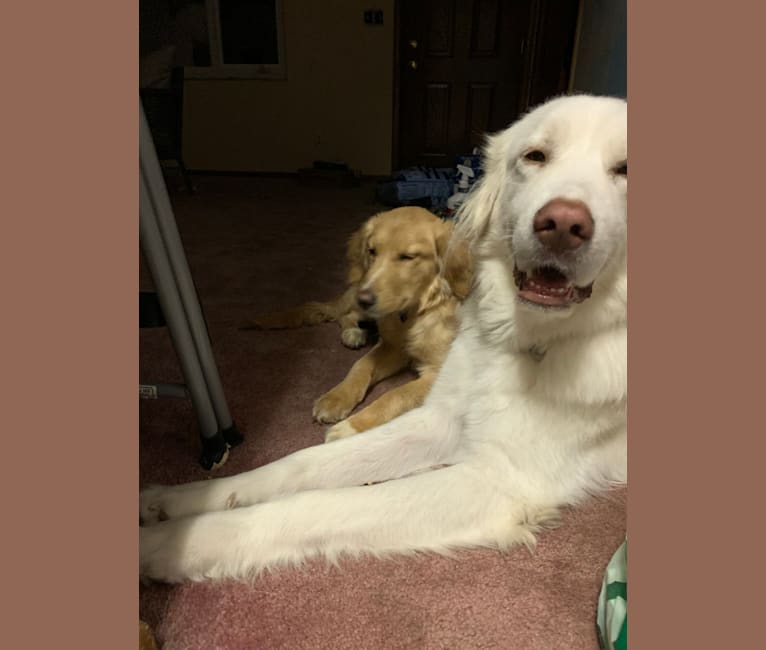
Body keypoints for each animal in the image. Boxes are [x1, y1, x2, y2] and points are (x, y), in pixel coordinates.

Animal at [140, 95, 632, 584]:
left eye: (625, 169)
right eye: (535, 156)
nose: (563, 224)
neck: (518, 336)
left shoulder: (497, 476)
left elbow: (320, 502)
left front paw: (177, 541)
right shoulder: (439, 417)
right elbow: (300, 461)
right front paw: (183, 500)